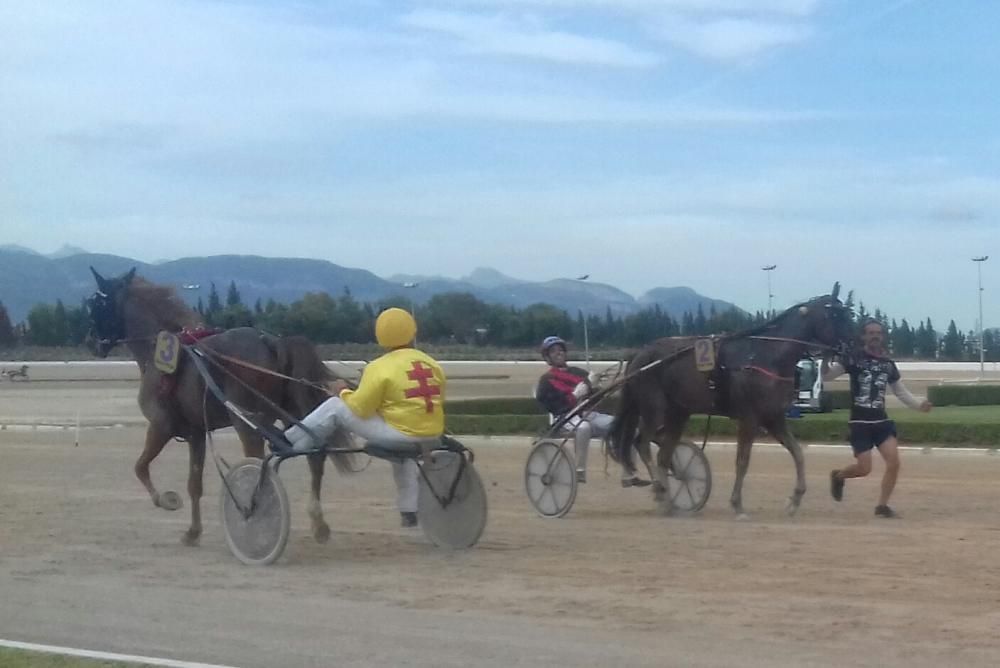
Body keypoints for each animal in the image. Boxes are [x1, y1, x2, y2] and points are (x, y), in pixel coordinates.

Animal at [87, 268, 356, 544]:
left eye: (95, 304)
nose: (91, 342)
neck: (162, 349)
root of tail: (272, 342)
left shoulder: (160, 426)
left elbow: (140, 467)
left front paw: (167, 500)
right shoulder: (196, 432)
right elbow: (194, 483)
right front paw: (193, 531)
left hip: (247, 422)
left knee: (259, 464)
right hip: (293, 412)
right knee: (315, 457)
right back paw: (319, 525)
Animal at [608, 284, 852, 520]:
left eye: (847, 313)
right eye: (836, 315)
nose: (851, 347)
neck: (766, 356)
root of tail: (640, 355)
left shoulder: (774, 417)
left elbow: (798, 453)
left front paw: (794, 500)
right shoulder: (749, 418)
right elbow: (742, 461)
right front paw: (738, 505)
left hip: (678, 413)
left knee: (664, 455)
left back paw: (669, 502)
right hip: (655, 408)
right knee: (642, 443)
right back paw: (660, 491)